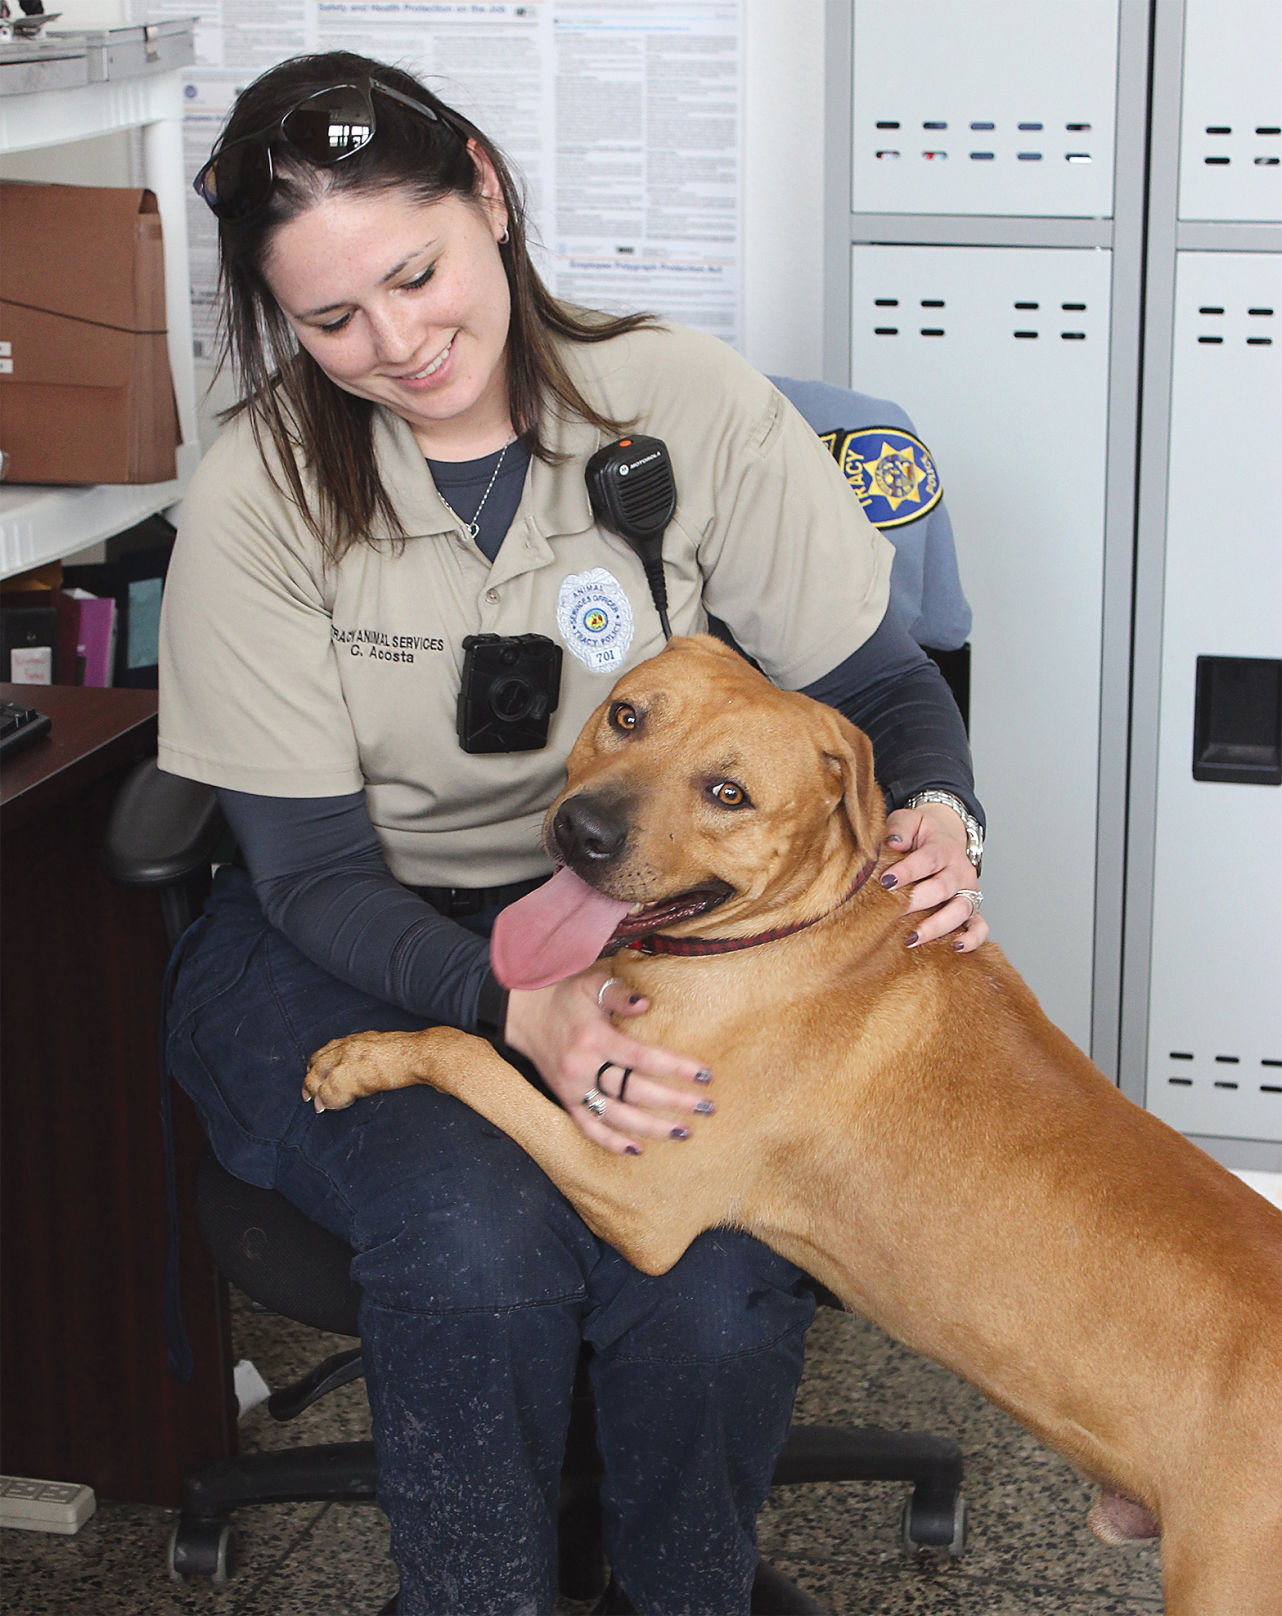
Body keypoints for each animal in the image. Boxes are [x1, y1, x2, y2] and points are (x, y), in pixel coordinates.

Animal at [307, 633, 1280, 1616]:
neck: (790, 930)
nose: (583, 833)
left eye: (728, 794)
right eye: (626, 716)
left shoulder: (639, 1194)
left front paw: (370, 1057)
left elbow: (469, 1055)